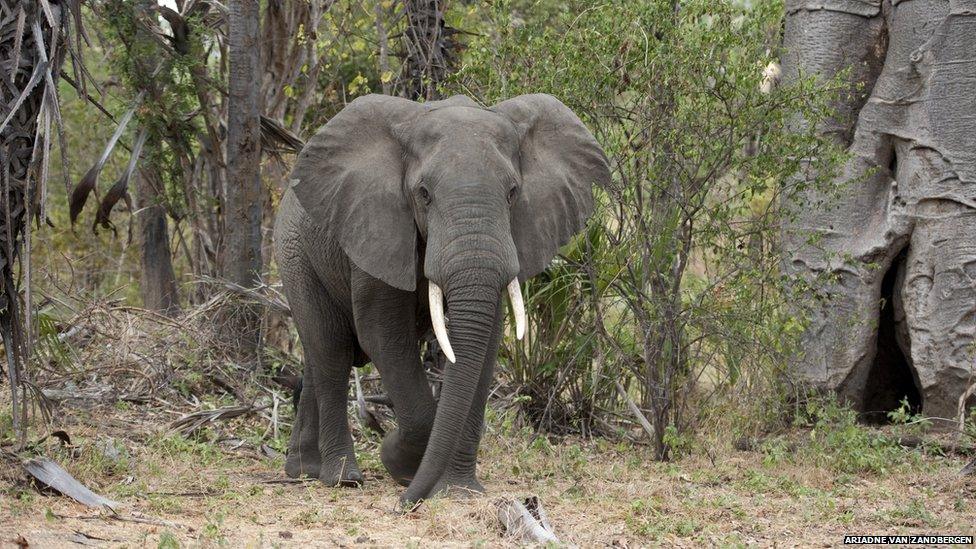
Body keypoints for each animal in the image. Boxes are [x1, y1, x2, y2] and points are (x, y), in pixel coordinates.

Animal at [274, 93, 610, 506]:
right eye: (424, 194)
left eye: (513, 193)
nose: (404, 504)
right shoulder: (378, 228)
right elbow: (383, 334)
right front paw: (399, 463)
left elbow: (485, 341)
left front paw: (458, 488)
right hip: (295, 254)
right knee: (331, 351)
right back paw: (342, 478)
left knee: (317, 356)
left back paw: (303, 469)